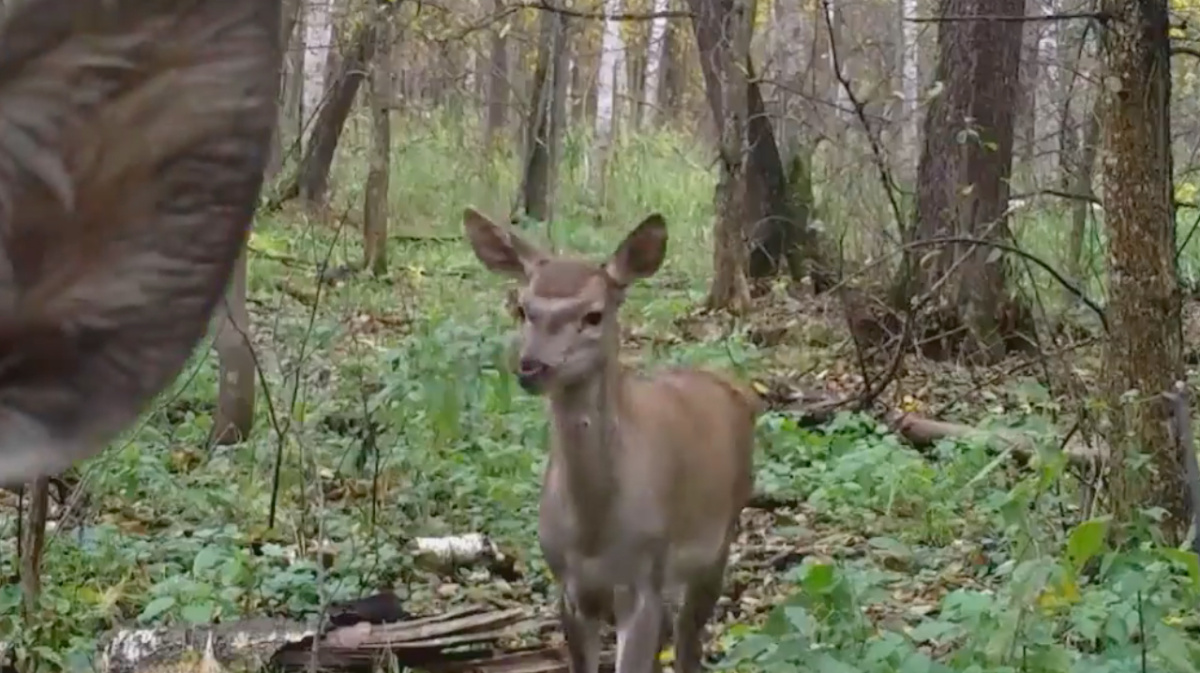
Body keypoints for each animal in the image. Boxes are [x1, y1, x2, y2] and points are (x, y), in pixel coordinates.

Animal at [460, 208, 758, 671]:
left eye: (594, 315)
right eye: (523, 309)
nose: (531, 365)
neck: (594, 532)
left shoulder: (643, 578)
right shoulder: (570, 586)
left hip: (720, 537)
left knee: (689, 639)